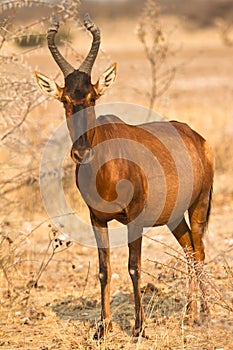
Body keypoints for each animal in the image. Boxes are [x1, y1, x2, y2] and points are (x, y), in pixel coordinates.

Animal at [33, 14, 214, 340]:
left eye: (92, 96)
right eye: (64, 99)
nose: (80, 153)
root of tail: (198, 138)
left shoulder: (135, 219)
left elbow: (134, 267)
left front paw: (140, 328)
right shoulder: (96, 219)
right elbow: (104, 268)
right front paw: (102, 329)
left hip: (199, 205)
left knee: (200, 251)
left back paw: (203, 316)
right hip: (173, 217)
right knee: (189, 250)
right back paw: (189, 314)